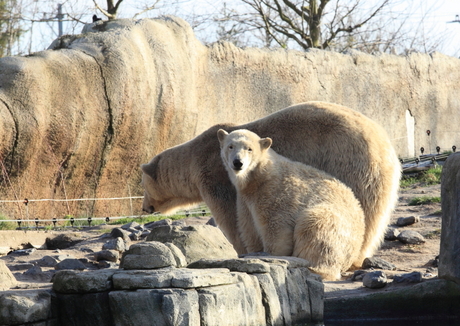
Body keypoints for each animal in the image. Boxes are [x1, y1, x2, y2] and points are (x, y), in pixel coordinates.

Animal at [142, 101, 400, 260]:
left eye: (143, 186)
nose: (145, 208)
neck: (194, 158)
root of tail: (387, 149)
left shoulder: (215, 176)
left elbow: (230, 216)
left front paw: (241, 248)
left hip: (349, 163)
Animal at [217, 129, 364, 282]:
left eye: (249, 149)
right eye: (231, 146)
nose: (238, 163)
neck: (259, 177)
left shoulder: (275, 192)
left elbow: (276, 228)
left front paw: (271, 255)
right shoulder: (245, 200)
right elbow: (250, 229)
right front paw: (254, 251)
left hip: (333, 224)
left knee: (316, 231)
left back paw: (315, 269)